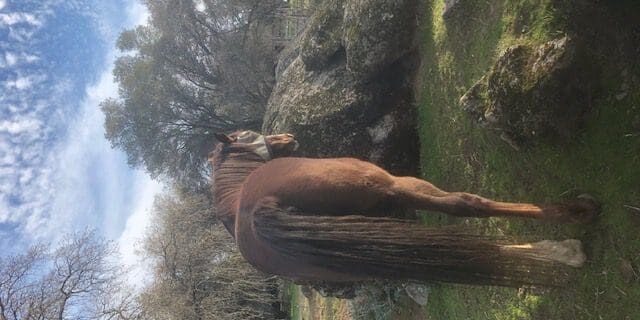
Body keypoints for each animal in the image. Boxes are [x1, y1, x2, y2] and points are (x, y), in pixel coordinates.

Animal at [210, 130, 600, 288]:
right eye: (247, 134)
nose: (288, 138)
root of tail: (258, 210)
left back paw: (562, 251)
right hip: (396, 186)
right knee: (465, 205)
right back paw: (571, 216)